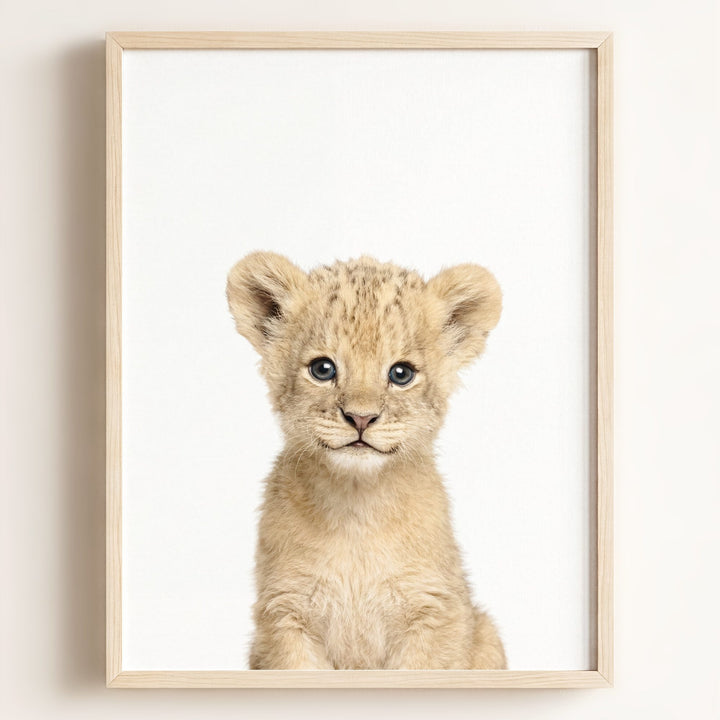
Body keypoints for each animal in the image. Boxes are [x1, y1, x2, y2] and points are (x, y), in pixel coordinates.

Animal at [226, 252, 506, 670]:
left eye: (401, 373)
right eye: (323, 369)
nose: (360, 418)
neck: (356, 509)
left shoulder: (435, 612)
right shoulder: (284, 615)